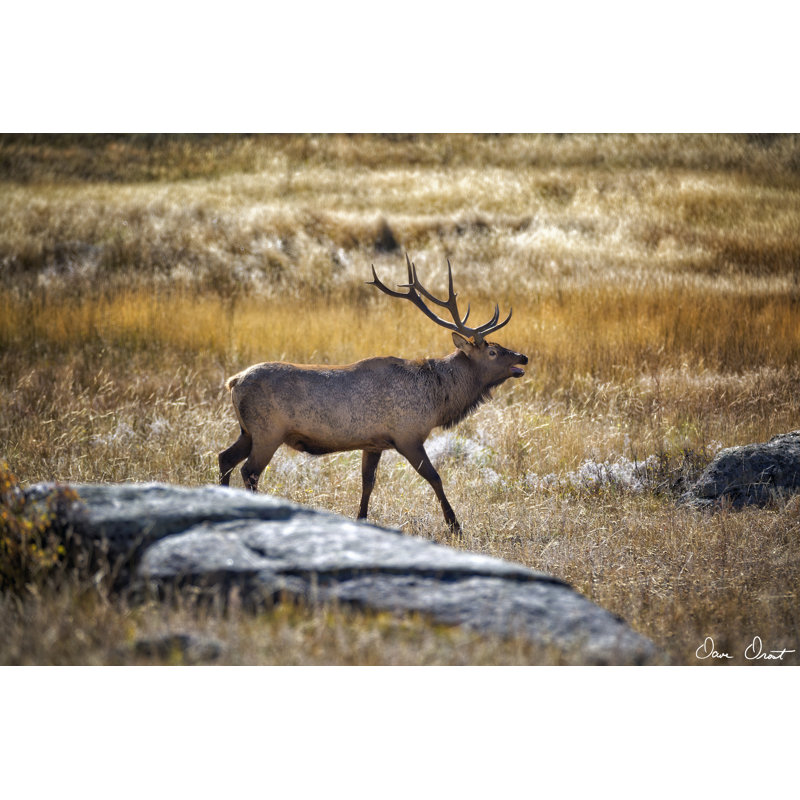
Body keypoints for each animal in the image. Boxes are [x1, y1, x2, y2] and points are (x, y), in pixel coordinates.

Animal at [218, 255, 528, 534]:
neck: (438, 399)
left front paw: (362, 519)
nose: (523, 357)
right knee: (249, 471)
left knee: (225, 458)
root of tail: (234, 381)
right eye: (493, 351)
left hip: (248, 431)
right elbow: (435, 477)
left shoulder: (373, 443)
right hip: (267, 431)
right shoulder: (408, 435)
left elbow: (367, 483)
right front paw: (455, 526)